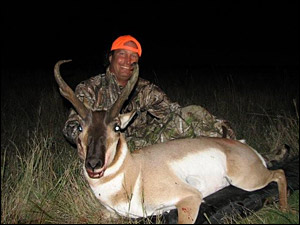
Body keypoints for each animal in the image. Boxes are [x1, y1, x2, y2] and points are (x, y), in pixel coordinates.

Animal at [54, 59, 288, 223]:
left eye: (117, 127)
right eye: (80, 128)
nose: (94, 163)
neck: (133, 171)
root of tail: (244, 146)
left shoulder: (190, 198)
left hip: (246, 180)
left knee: (279, 173)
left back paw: (285, 209)